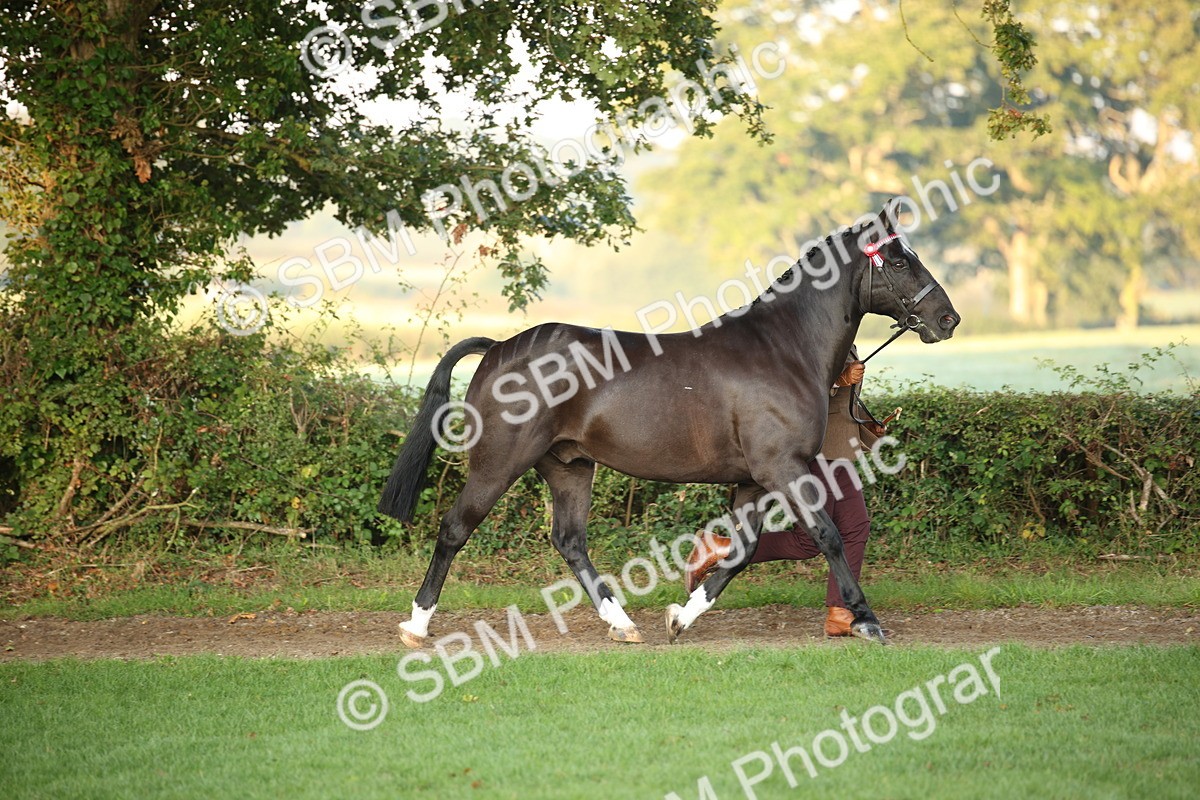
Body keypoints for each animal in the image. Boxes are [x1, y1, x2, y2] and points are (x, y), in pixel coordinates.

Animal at [379, 198, 960, 647]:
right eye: (899, 261)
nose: (947, 318)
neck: (783, 347)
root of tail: (500, 346)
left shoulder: (752, 481)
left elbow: (743, 551)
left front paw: (681, 616)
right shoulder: (784, 468)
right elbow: (828, 535)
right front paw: (867, 621)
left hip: (568, 465)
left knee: (569, 541)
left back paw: (622, 623)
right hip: (500, 461)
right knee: (455, 528)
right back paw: (416, 625)